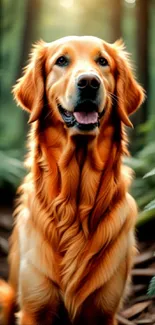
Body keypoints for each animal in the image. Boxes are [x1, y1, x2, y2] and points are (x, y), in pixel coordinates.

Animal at [0, 36, 145, 324]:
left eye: (102, 61)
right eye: (61, 60)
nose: (89, 82)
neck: (75, 202)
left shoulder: (104, 311)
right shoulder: (35, 308)